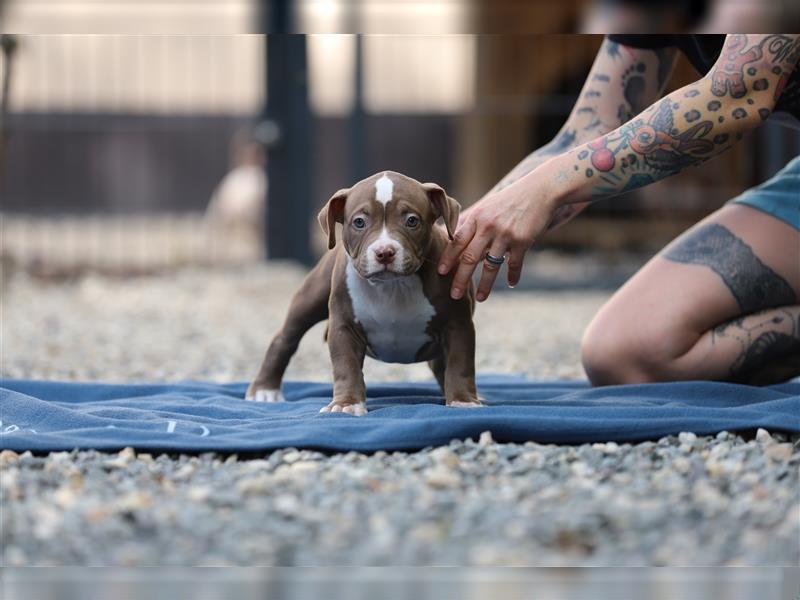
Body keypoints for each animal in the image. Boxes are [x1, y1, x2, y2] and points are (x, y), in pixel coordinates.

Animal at [247, 169, 478, 412]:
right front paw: (346, 404)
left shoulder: (457, 324)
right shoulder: (344, 326)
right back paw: (265, 389)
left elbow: (460, 365)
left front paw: (463, 400)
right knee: (285, 339)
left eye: (412, 221)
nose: (384, 252)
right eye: (359, 222)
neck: (393, 286)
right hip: (309, 298)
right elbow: (346, 367)